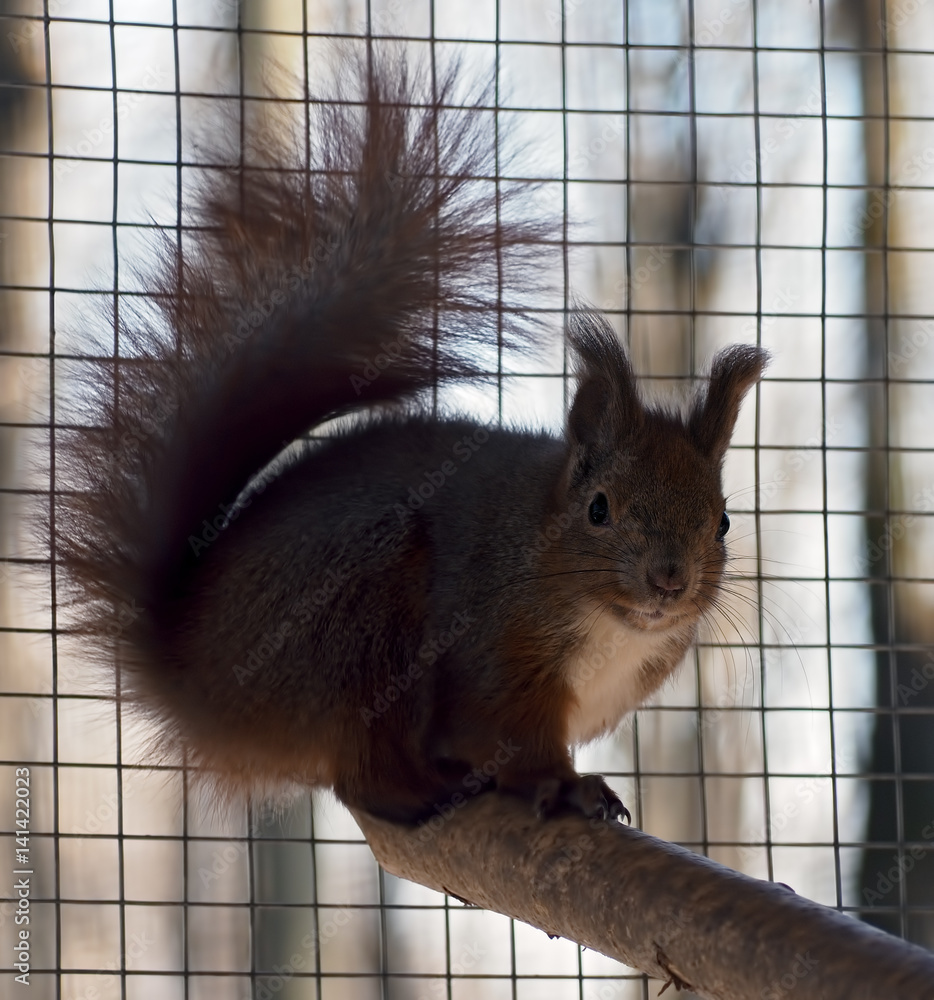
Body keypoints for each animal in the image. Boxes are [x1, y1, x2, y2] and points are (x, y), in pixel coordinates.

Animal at [55, 47, 768, 826]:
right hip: (361, 622)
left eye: (723, 521)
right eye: (599, 509)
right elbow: (512, 740)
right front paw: (568, 785)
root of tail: (192, 672)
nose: (670, 581)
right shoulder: (492, 657)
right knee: (363, 777)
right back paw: (424, 793)